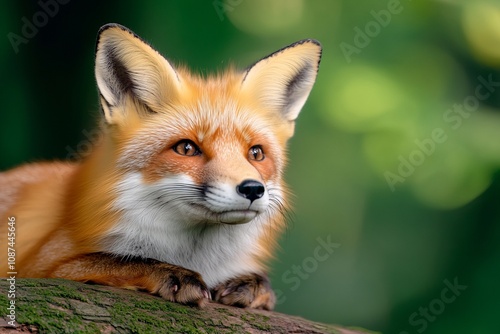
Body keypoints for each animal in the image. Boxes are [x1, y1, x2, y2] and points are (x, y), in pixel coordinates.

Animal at [0, 24, 320, 310]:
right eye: (186, 148)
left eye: (256, 153)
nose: (253, 189)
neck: (195, 256)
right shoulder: (43, 263)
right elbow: (115, 260)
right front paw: (170, 274)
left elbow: (266, 289)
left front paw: (251, 285)